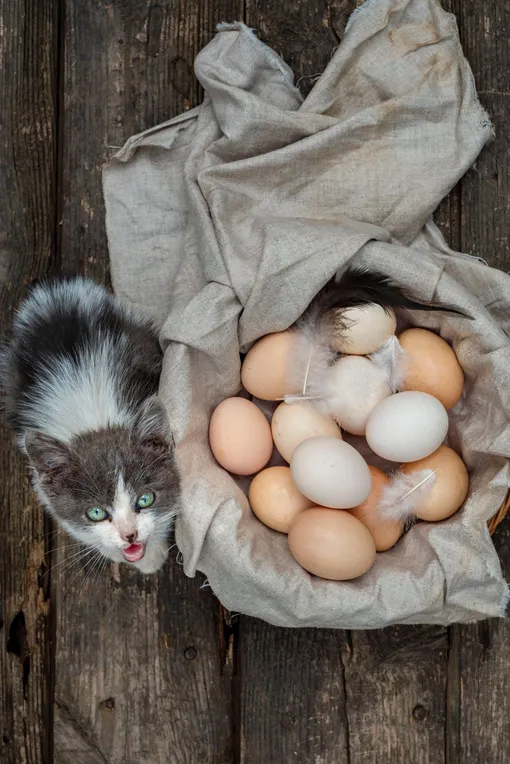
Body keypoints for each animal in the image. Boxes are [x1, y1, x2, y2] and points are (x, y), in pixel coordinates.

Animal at [0, 276, 180, 572]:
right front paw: (138, 556)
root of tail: (56, 296)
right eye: (96, 513)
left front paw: (152, 551)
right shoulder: (45, 486)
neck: (96, 421)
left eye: (145, 499)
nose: (130, 535)